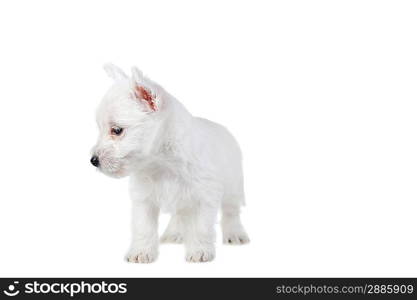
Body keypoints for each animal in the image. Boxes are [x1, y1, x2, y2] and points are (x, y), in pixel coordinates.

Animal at [91, 63, 247, 262]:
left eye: (117, 130)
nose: (93, 160)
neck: (162, 163)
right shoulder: (144, 200)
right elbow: (143, 227)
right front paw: (141, 252)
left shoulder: (204, 197)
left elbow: (201, 227)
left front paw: (199, 251)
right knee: (180, 214)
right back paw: (175, 233)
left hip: (234, 186)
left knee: (230, 211)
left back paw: (235, 234)